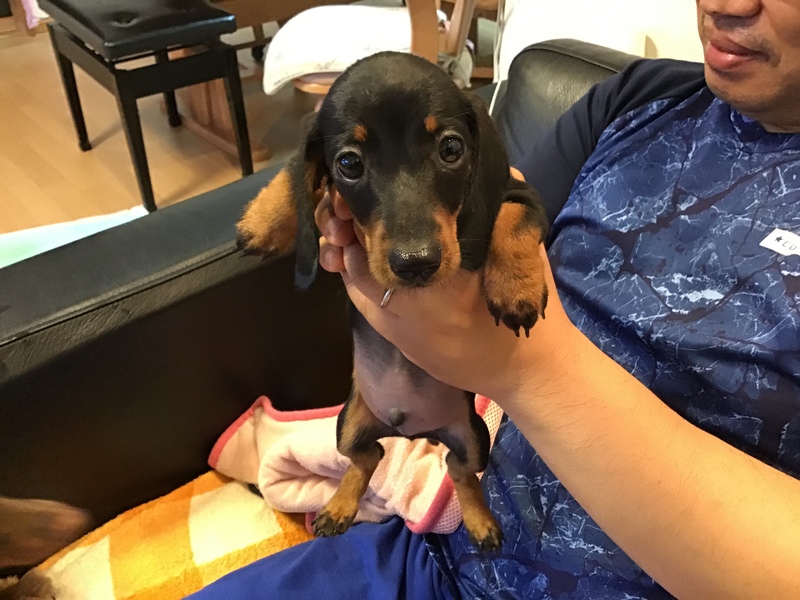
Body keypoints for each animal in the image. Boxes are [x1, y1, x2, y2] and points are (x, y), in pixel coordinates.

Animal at [236, 51, 549, 551]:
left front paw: (515, 289)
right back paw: (340, 506)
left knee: (459, 471)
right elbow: (294, 172)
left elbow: (513, 216)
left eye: (451, 149)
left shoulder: (520, 192)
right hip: (348, 423)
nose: (416, 264)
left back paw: (480, 521)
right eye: (348, 162)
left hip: (473, 437)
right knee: (368, 456)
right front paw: (263, 222)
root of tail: (416, 431)